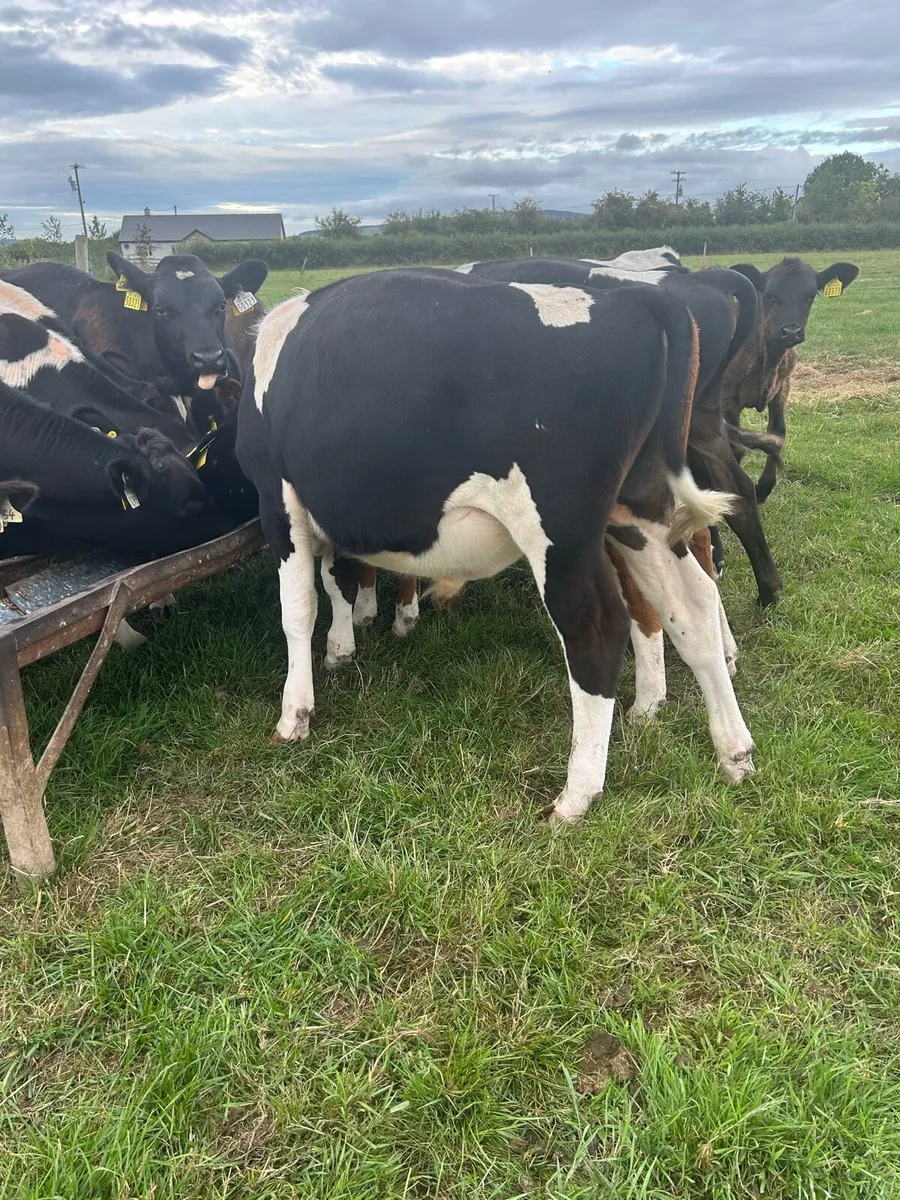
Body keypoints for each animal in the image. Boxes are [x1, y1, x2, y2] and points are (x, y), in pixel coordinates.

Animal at [237, 268, 755, 822]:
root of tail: (629, 297)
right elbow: (338, 582)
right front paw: (340, 649)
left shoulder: (278, 500)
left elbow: (298, 609)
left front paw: (295, 713)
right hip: (642, 512)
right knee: (693, 606)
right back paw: (734, 751)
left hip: (558, 530)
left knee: (595, 627)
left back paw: (577, 793)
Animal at [723, 257, 859, 504]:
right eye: (768, 295)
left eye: (811, 295)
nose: (790, 331)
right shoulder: (727, 395)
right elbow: (735, 447)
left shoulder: (782, 387)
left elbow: (777, 434)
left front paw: (762, 489)